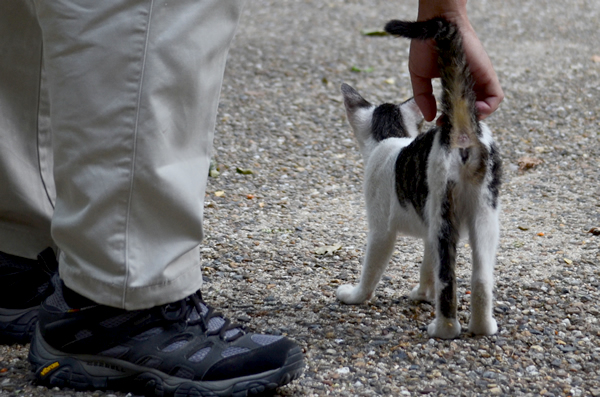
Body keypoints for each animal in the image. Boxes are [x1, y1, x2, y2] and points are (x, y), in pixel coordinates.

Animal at [338, 16, 502, 338]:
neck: (390, 138)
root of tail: (460, 129)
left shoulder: (381, 230)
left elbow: (372, 268)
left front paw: (356, 296)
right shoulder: (427, 234)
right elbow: (427, 265)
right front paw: (423, 294)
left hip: (443, 210)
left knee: (448, 279)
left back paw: (444, 328)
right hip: (484, 213)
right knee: (480, 277)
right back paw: (482, 326)